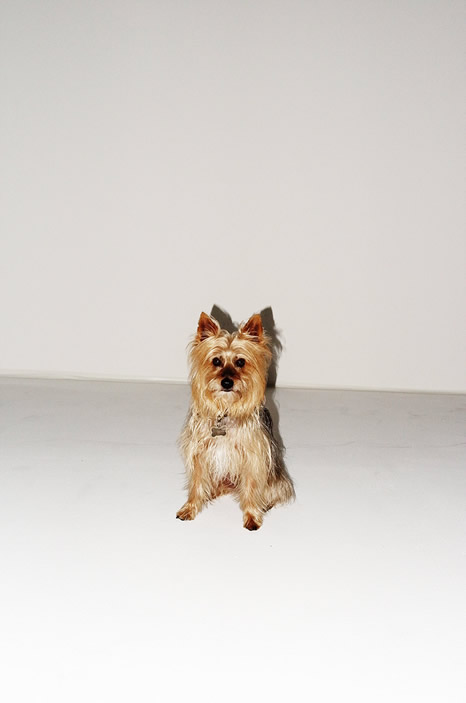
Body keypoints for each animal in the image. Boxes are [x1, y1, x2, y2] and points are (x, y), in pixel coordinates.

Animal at [177, 312, 295, 530]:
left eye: (240, 362)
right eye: (216, 361)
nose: (227, 382)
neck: (225, 410)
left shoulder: (253, 458)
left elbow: (251, 486)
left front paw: (252, 516)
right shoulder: (199, 454)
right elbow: (196, 483)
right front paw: (190, 507)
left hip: (276, 477)